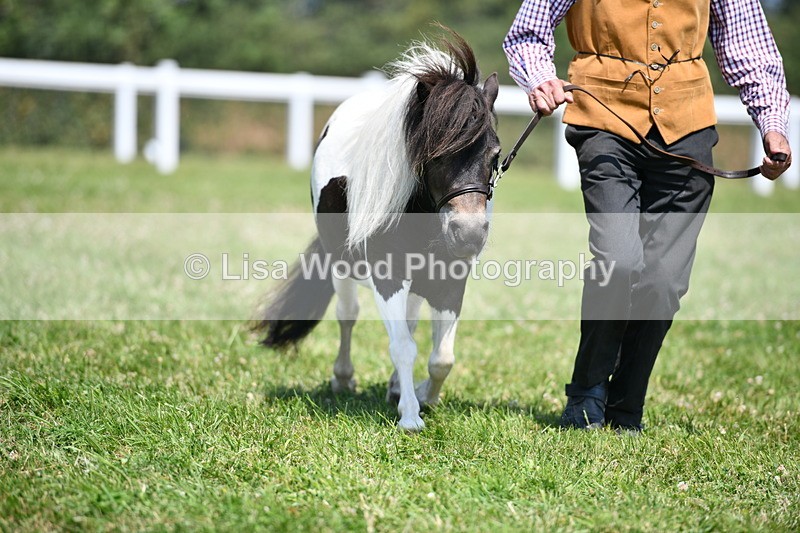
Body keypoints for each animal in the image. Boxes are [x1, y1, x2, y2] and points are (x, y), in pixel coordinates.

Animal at [256, 30, 500, 431]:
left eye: (494, 155)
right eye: (434, 153)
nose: (468, 235)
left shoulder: (450, 280)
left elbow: (441, 358)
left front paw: (423, 397)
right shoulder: (389, 277)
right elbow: (402, 346)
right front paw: (411, 417)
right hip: (341, 265)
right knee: (348, 314)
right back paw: (343, 379)